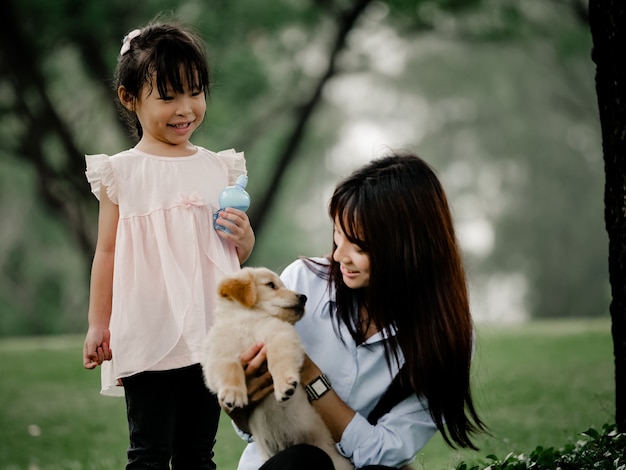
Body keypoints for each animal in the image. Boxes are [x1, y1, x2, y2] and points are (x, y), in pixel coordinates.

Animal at [202, 268, 354, 470]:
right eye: (271, 285)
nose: (303, 297)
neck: (248, 321)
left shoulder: (280, 335)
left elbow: (278, 360)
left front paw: (284, 385)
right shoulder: (218, 353)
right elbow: (229, 367)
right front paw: (232, 395)